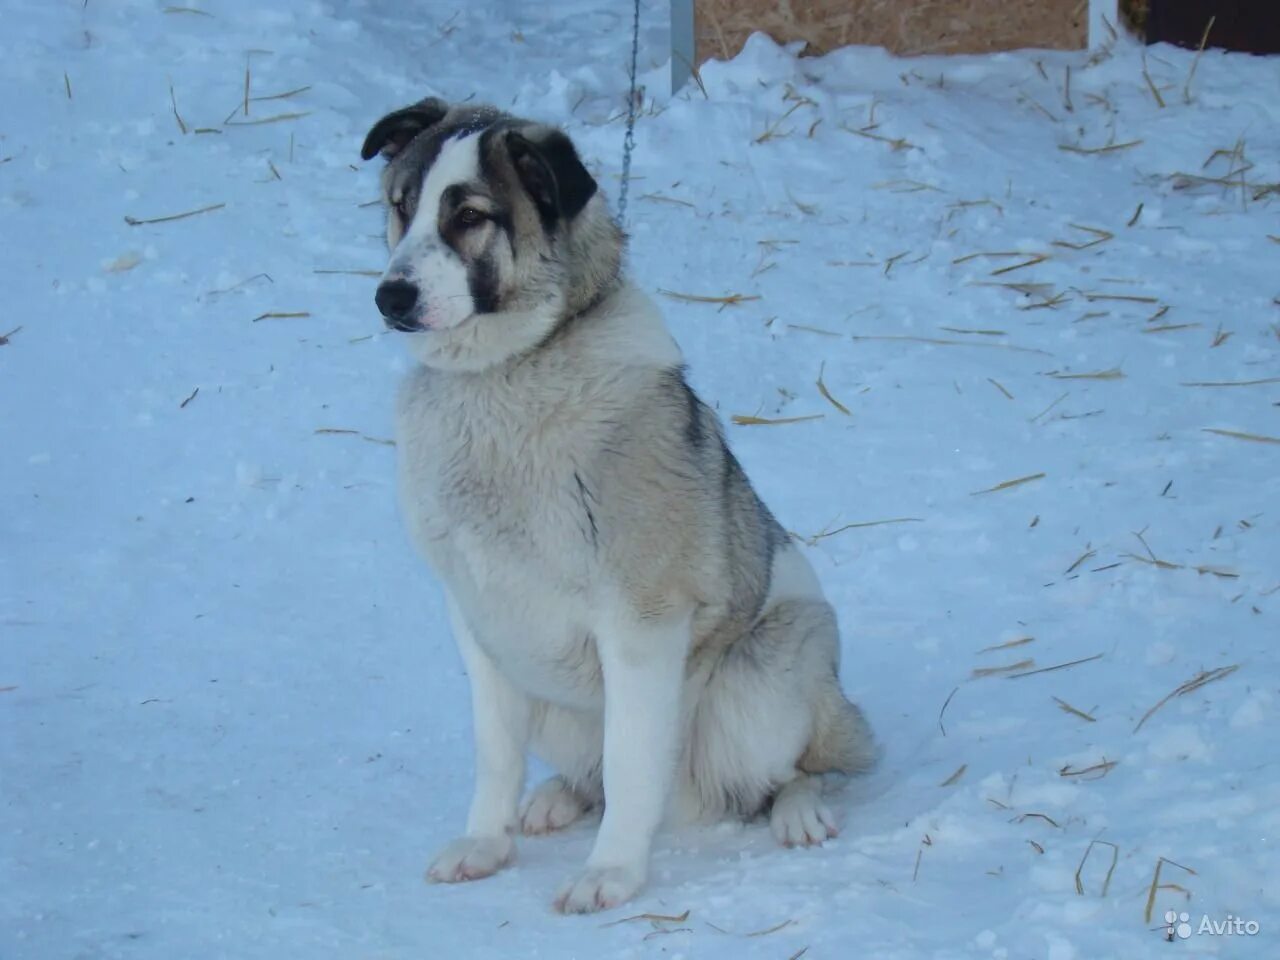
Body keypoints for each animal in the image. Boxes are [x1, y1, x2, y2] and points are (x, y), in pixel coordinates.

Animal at [360, 97, 880, 916]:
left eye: (469, 215)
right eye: (401, 207)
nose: (391, 296)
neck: (508, 376)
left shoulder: (641, 623)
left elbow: (634, 762)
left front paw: (611, 873)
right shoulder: (479, 621)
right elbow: (496, 753)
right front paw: (486, 843)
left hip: (771, 667)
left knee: (791, 770)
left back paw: (798, 812)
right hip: (552, 694)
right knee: (590, 775)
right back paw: (557, 799)